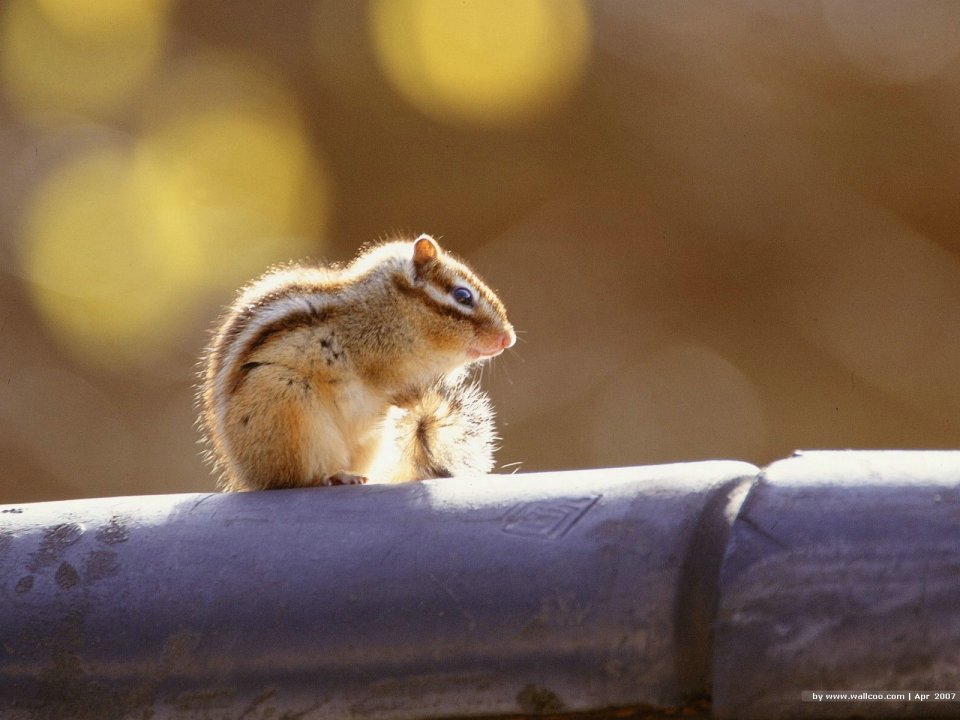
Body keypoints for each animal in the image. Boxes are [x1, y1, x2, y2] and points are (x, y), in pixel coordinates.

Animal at [198, 234, 515, 492]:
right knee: (297, 479)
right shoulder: (377, 356)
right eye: (463, 296)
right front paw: (410, 398)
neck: (392, 308)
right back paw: (335, 476)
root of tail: (248, 477)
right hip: (290, 410)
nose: (508, 339)